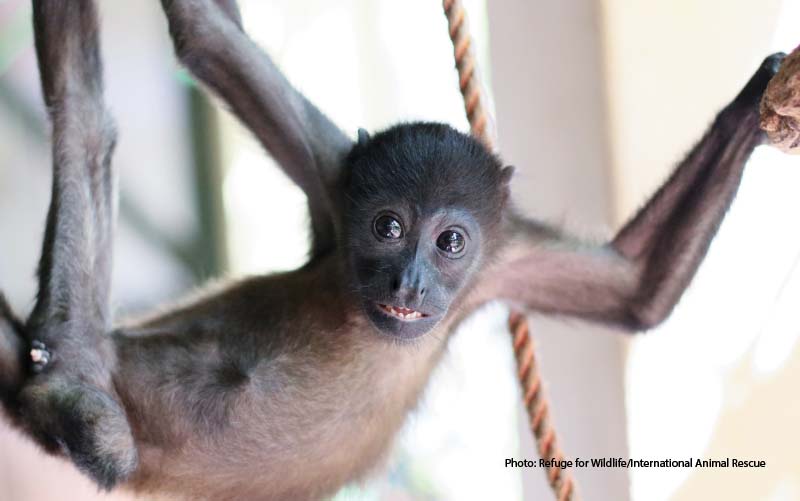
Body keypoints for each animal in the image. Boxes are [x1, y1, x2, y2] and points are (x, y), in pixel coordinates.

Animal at [0, 0, 786, 499]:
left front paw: (756, 104)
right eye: (387, 228)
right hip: (82, 374)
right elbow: (205, 35)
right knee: (85, 122)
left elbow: (636, 292)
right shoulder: (333, 174)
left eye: (450, 242)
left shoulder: (499, 259)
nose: (409, 284)